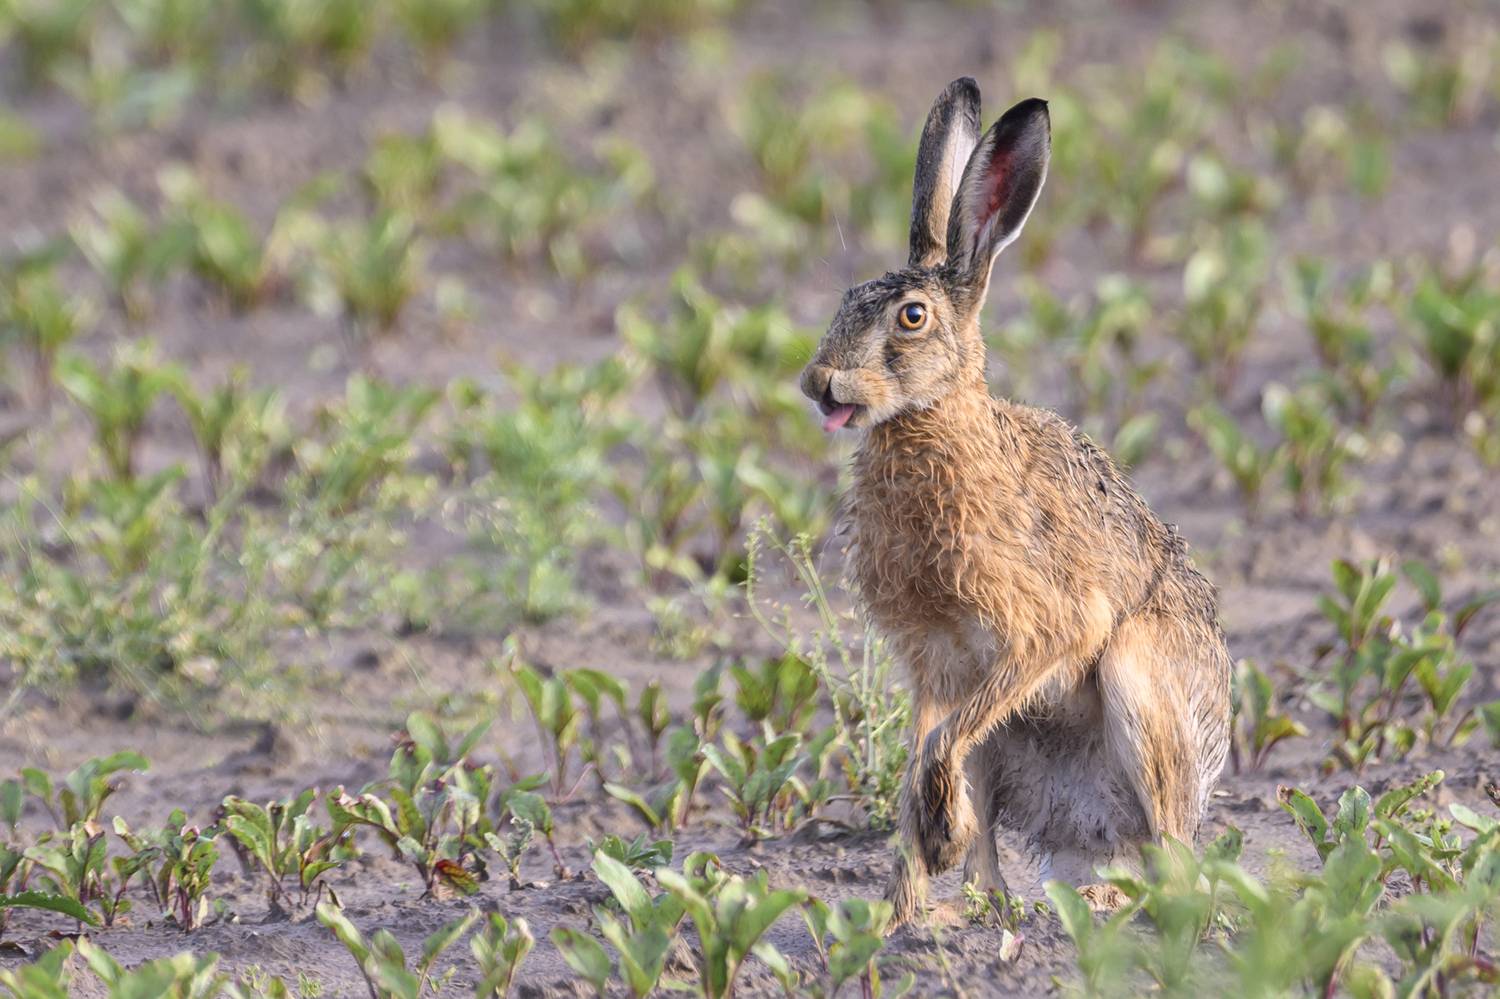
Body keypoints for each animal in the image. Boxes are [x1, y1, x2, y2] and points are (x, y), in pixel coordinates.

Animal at [799, 78, 1231, 928]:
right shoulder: (934, 663)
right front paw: (917, 873)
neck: (934, 422)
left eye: (911, 317)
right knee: (992, 863)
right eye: (845, 301)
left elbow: (940, 745)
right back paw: (931, 916)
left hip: (1140, 688)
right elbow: (921, 760)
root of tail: (1090, 838)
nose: (819, 383)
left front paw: (939, 834)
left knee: (1175, 863)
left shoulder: (1044, 630)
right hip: (1010, 751)